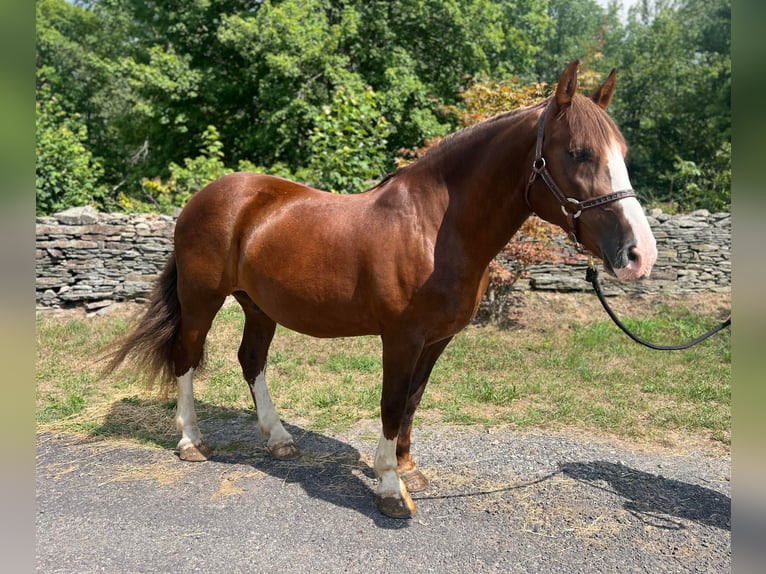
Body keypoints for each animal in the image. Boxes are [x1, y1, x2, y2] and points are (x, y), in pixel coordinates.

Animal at [106, 60, 660, 520]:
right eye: (579, 153)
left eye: (623, 153)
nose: (640, 255)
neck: (434, 228)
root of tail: (205, 197)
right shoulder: (401, 337)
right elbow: (392, 404)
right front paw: (393, 491)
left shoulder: (436, 339)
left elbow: (413, 401)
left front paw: (406, 467)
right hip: (202, 298)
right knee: (186, 358)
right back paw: (191, 442)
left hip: (259, 306)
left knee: (251, 360)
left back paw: (279, 440)